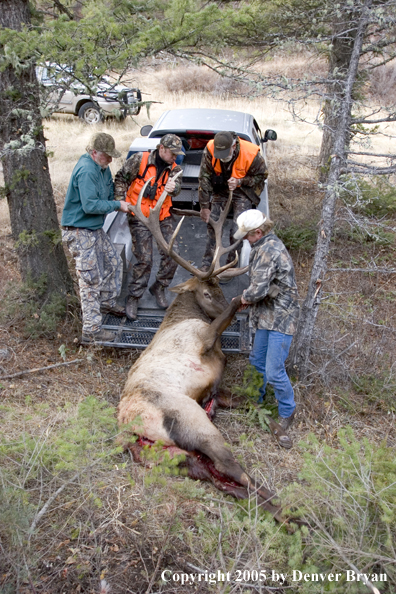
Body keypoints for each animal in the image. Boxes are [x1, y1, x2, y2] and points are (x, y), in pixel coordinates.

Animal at [117, 180, 282, 520]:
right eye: (206, 292)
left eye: (219, 288)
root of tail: (131, 431)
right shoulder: (203, 336)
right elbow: (225, 316)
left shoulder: (215, 390)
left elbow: (250, 401)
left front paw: (276, 427)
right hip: (193, 422)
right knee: (234, 469)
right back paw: (289, 510)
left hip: (177, 458)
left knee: (224, 479)